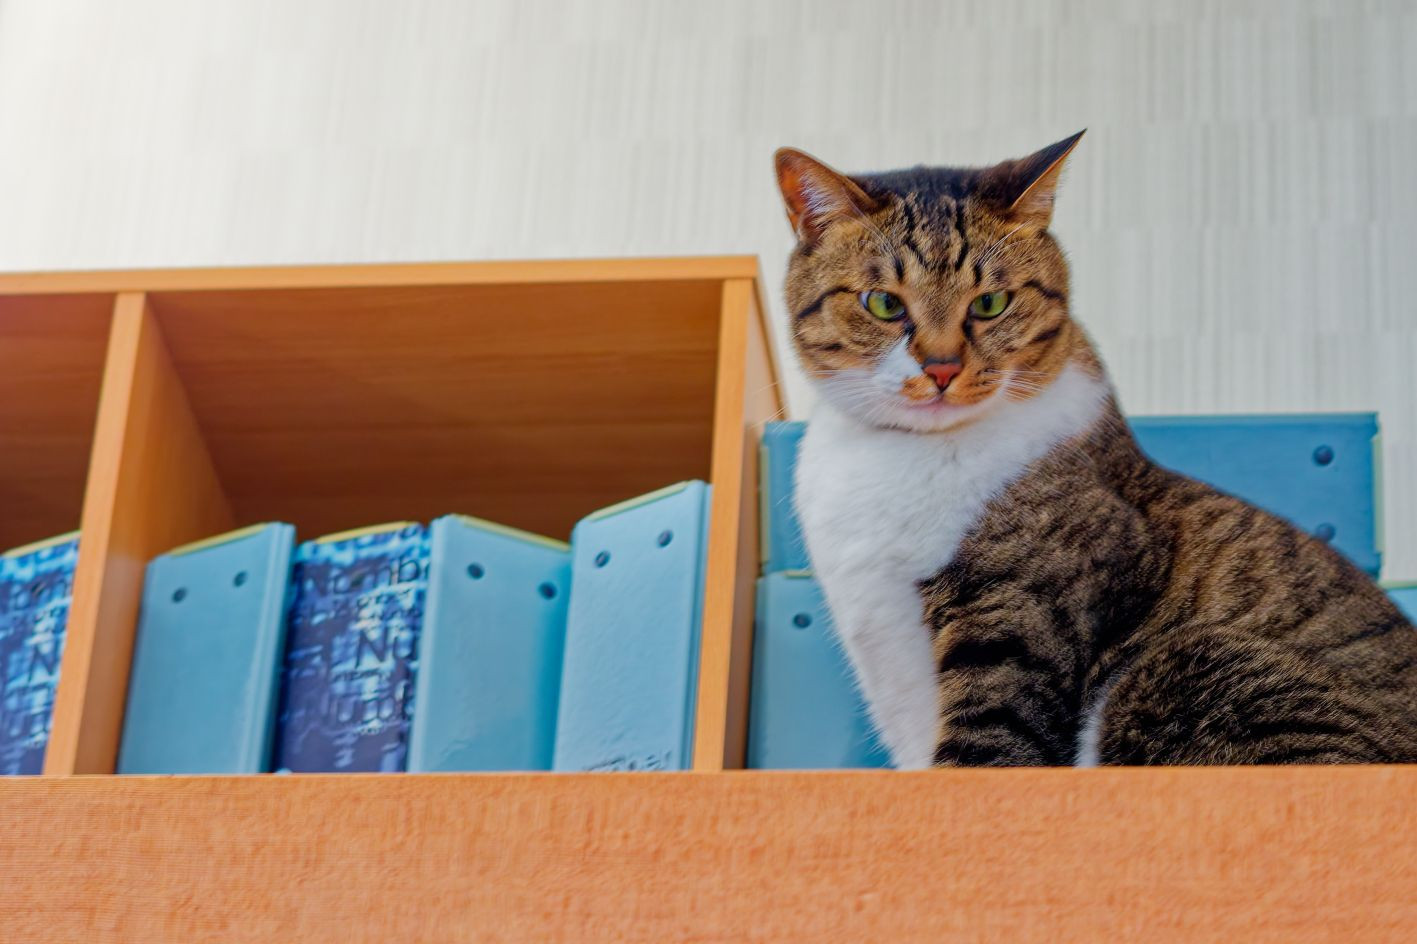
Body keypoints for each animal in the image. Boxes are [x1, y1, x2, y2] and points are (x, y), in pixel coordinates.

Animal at [774, 132, 1417, 767]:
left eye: (990, 303)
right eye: (883, 303)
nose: (941, 369)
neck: (909, 452)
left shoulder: (1019, 622)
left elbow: (988, 746)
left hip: (1194, 661)